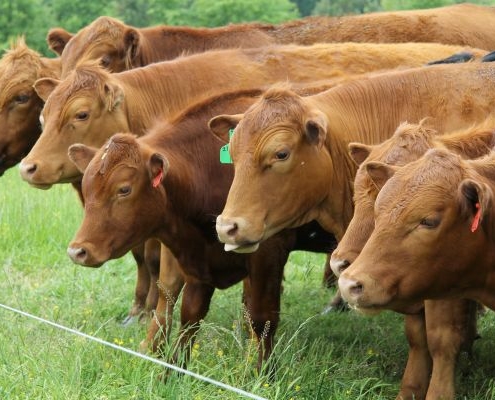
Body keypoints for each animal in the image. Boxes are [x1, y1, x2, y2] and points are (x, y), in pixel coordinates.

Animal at [330, 121, 495, 400]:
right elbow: (419, 337)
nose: (343, 272)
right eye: (378, 208)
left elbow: (443, 340)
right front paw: (410, 391)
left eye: (428, 221)